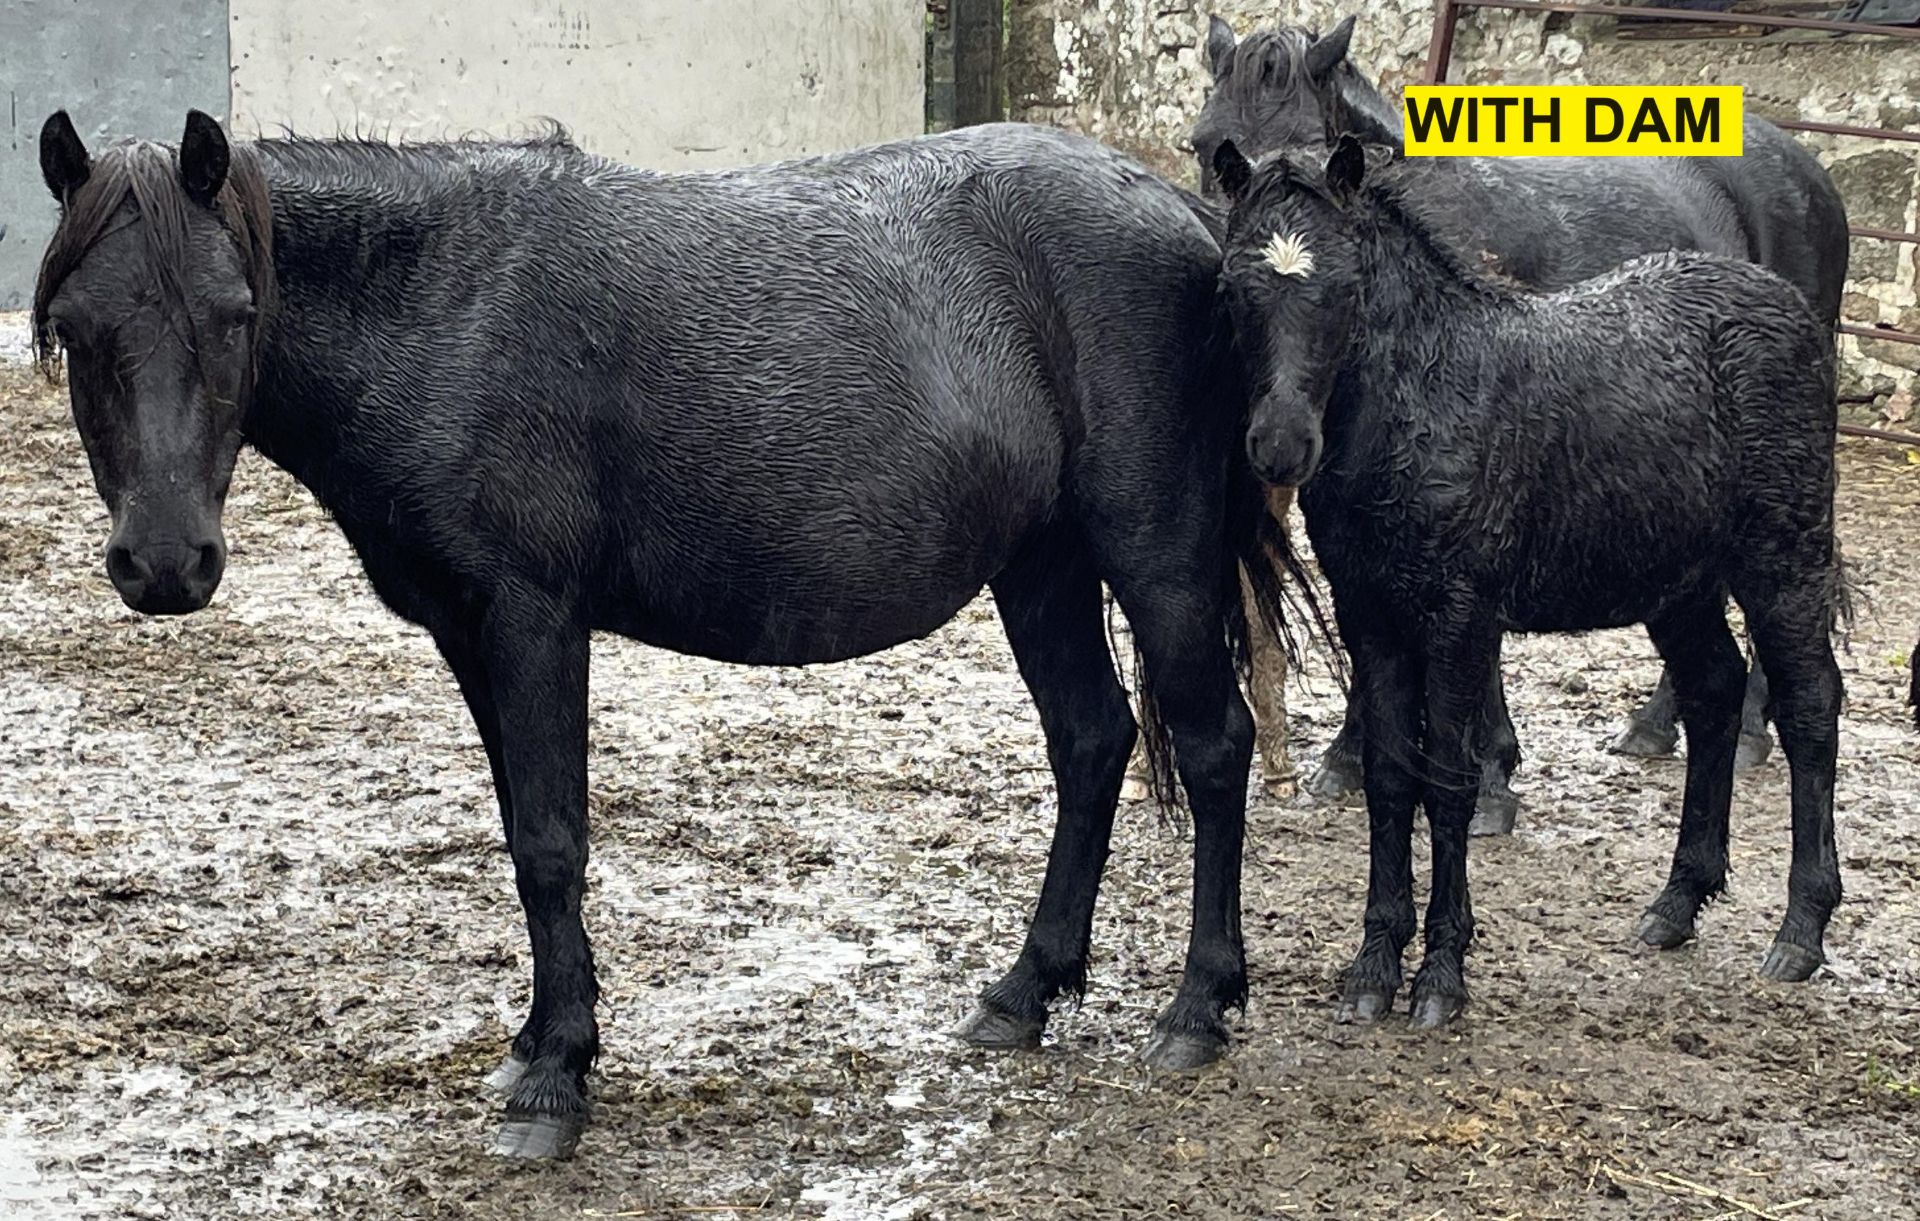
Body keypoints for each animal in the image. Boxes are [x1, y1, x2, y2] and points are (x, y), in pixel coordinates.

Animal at [33, 116, 1290, 1167]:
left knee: (1213, 745)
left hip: (1154, 556)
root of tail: (1178, 210)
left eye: (235, 316)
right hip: (1039, 564)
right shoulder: (469, 634)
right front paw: (538, 1044)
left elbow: (551, 842)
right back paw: (1024, 993)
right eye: (76, 329)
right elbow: (522, 834)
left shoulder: (532, 617)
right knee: (1092, 742)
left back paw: (1197, 1009)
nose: (164, 564)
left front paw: (555, 1083)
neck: (443, 306)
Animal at [1198, 16, 1843, 821]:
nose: (1280, 438)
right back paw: (1663, 726)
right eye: (1204, 142)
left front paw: (1486, 775)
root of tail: (1808, 170)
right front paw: (1372, 756)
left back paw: (1744, 725)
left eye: (1313, 137)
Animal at [1213, 136, 1843, 1029]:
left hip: (1782, 556)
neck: (1426, 396)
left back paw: (1801, 929)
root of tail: (1783, 301)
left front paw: (1441, 976)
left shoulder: (1461, 615)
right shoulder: (1370, 612)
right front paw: (1372, 969)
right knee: (1714, 690)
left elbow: (1447, 777)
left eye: (1344, 286)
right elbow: (1389, 779)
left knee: (1809, 706)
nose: (1280, 445)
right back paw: (1677, 902)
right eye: (1234, 288)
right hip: (1679, 580)